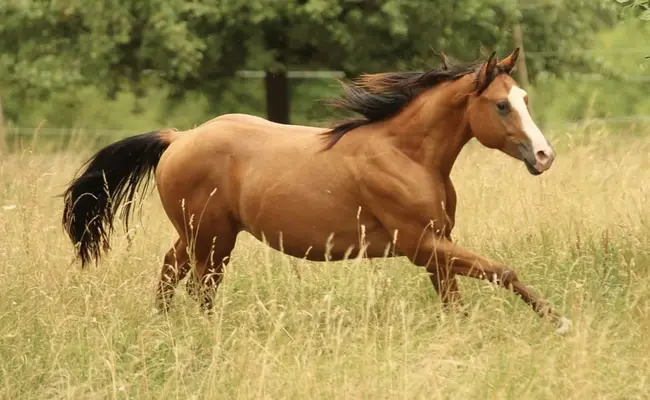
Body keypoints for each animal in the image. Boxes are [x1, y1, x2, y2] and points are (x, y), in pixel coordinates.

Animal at [61, 48, 572, 334]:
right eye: (502, 105)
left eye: (524, 99)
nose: (545, 155)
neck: (406, 155)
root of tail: (177, 139)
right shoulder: (420, 244)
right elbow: (502, 270)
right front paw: (561, 322)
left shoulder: (436, 245)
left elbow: (454, 299)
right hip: (213, 239)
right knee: (200, 288)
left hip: (197, 235)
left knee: (171, 272)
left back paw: (165, 328)